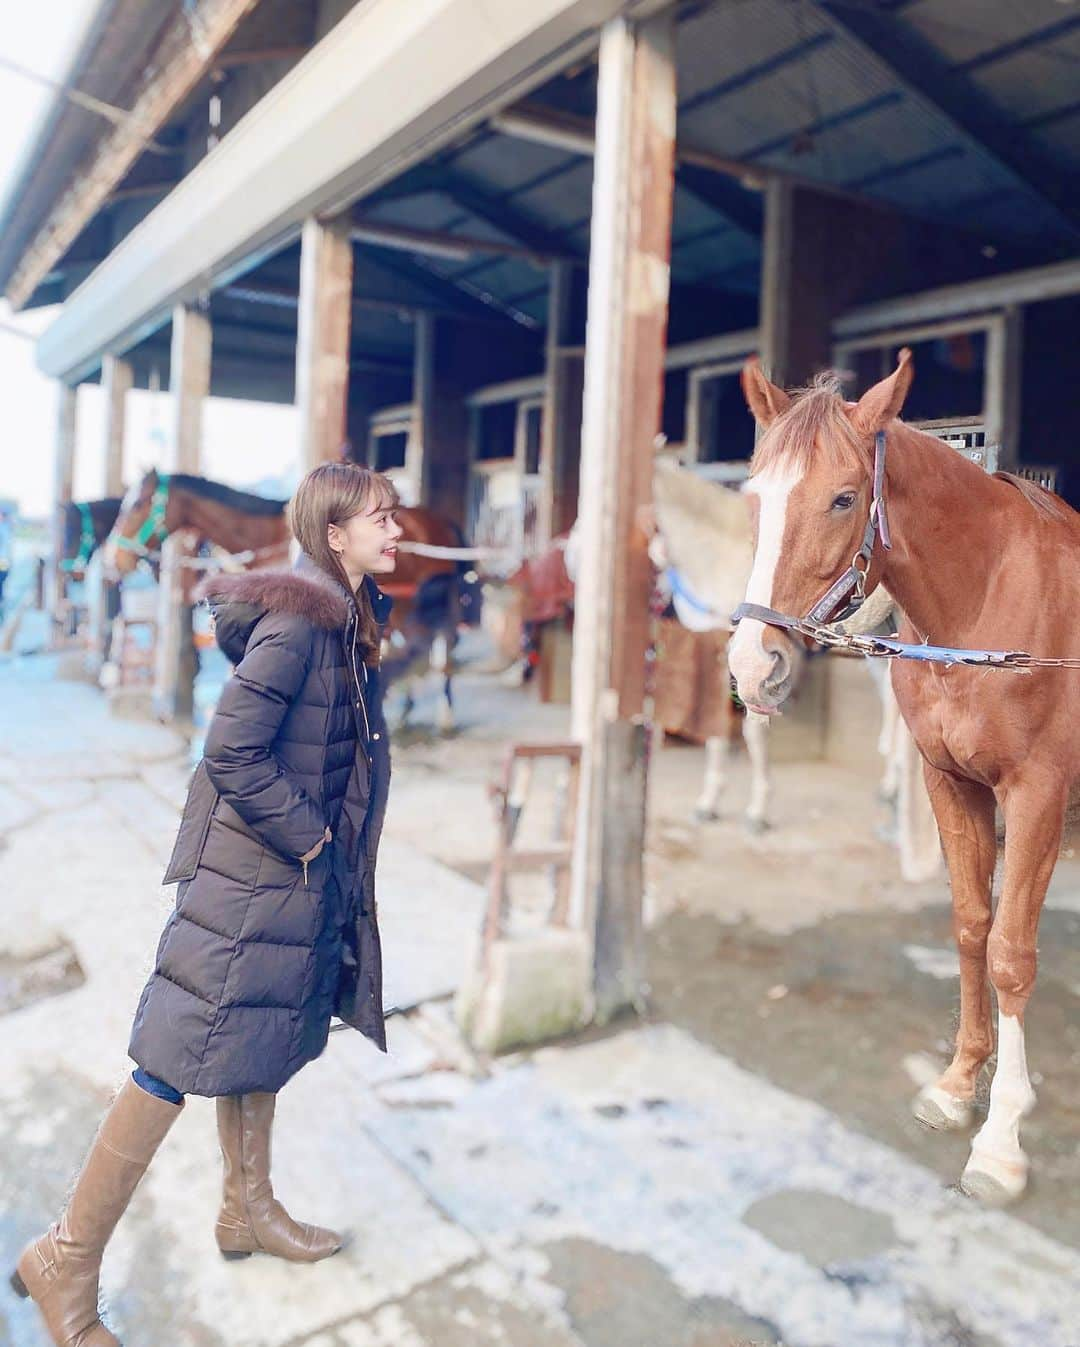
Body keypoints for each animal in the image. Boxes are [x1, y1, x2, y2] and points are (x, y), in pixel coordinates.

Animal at [721, 347, 1077, 1201]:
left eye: (844, 497)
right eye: (753, 495)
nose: (753, 666)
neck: (988, 603)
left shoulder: (1037, 795)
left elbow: (1012, 952)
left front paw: (1002, 1138)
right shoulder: (948, 780)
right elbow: (972, 924)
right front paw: (958, 1085)